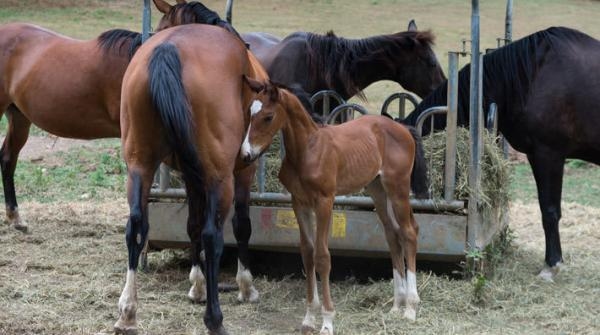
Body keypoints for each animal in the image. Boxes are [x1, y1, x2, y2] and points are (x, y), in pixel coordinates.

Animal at [115, 23, 262, 335]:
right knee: (213, 235)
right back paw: (215, 319)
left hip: (139, 166)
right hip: (221, 179)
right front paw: (245, 286)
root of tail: (168, 48)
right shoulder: (243, 171)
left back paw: (128, 311)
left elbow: (190, 225)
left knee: (135, 228)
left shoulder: (191, 176)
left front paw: (197, 285)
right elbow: (241, 225)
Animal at [239, 77, 426, 334]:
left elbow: (322, 256)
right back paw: (397, 305)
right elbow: (307, 254)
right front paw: (309, 317)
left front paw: (327, 320)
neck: (307, 149)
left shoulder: (325, 201)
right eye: (249, 112)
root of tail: (402, 128)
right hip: (378, 190)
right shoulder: (300, 203)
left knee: (409, 232)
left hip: (397, 188)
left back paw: (410, 308)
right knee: (392, 234)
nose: (246, 155)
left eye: (268, 116)